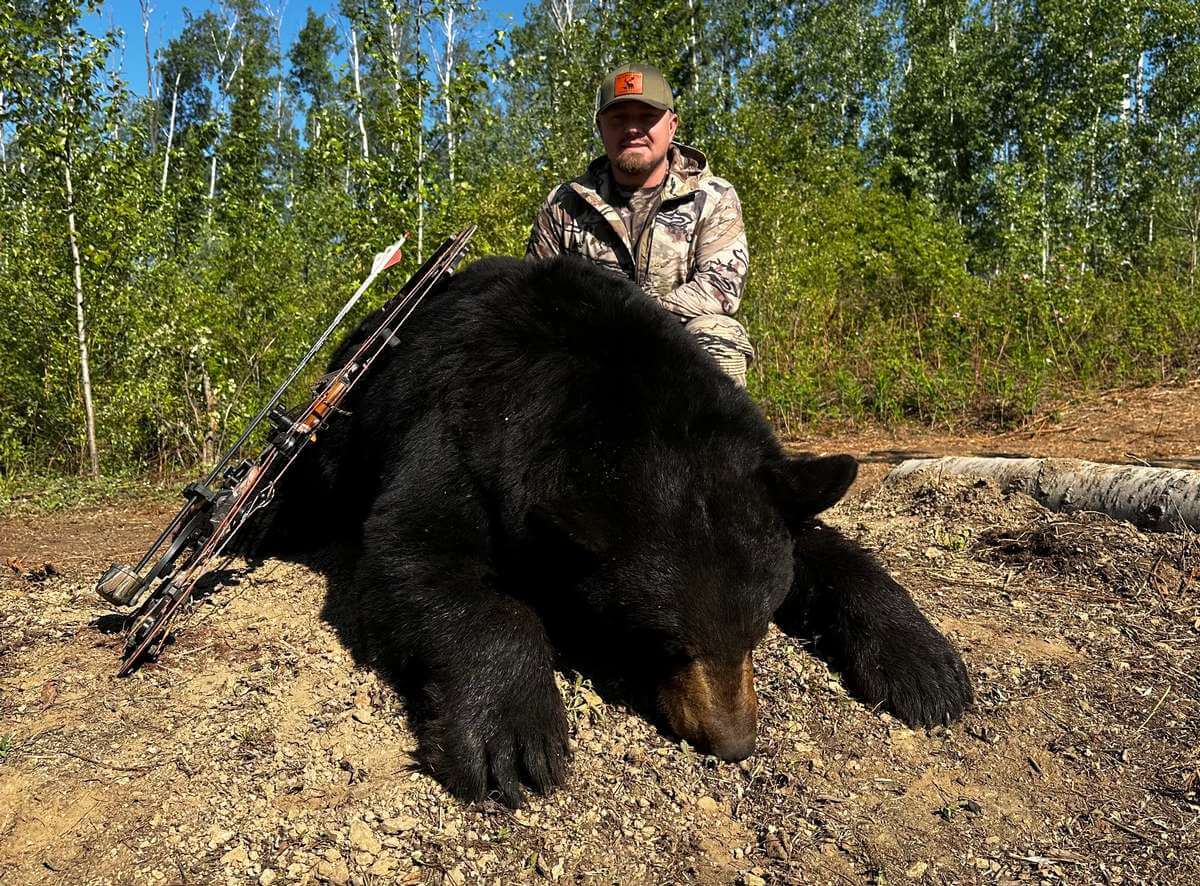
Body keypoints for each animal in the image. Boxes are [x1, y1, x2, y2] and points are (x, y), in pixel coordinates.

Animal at [255, 254, 972, 807]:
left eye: (758, 631)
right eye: (667, 643)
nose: (734, 743)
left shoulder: (757, 487)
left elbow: (825, 548)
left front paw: (929, 670)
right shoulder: (458, 424)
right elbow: (418, 548)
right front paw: (512, 734)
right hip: (342, 430)